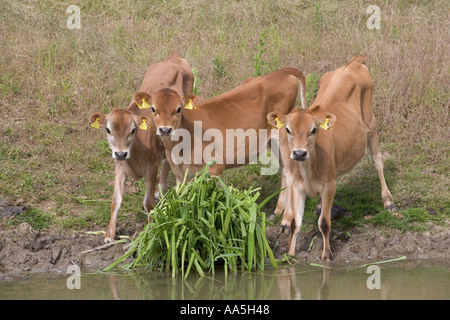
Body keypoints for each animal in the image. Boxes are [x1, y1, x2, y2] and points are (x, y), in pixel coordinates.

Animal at [268, 55, 396, 260]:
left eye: (313, 130)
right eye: (288, 129)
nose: (299, 153)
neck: (308, 169)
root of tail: (353, 63)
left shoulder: (329, 186)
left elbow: (324, 223)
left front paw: (327, 255)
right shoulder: (297, 186)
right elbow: (295, 223)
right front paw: (289, 255)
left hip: (371, 123)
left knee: (377, 160)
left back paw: (388, 201)